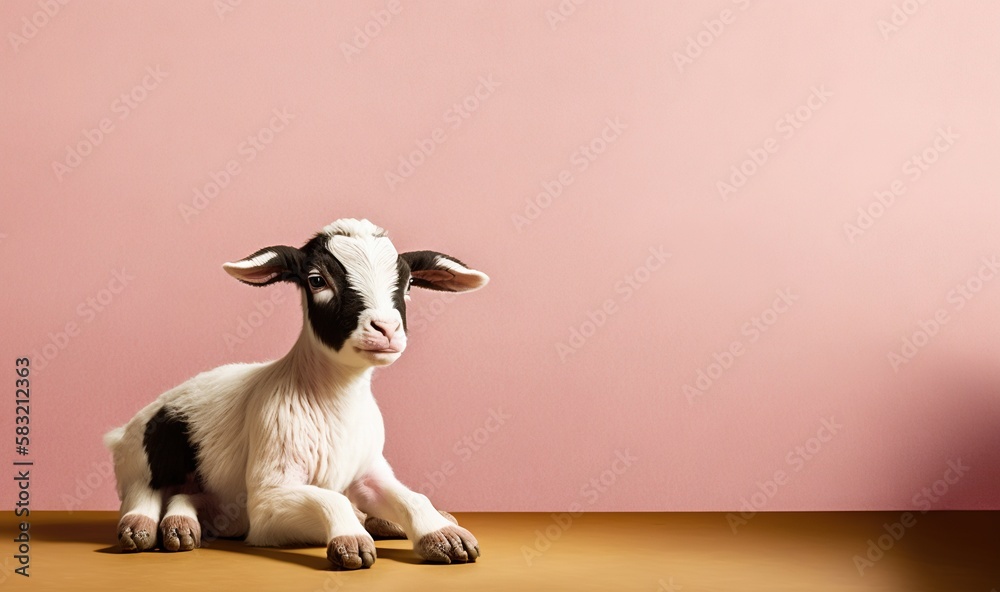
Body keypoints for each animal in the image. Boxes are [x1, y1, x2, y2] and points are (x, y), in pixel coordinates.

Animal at [104, 219, 488, 568]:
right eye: (317, 280)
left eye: (408, 284)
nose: (386, 329)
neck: (335, 400)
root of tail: (120, 434)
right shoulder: (267, 502)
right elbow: (331, 500)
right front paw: (352, 540)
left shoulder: (369, 472)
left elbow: (413, 497)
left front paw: (444, 535)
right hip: (144, 454)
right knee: (146, 491)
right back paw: (142, 527)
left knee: (192, 498)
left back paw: (181, 526)